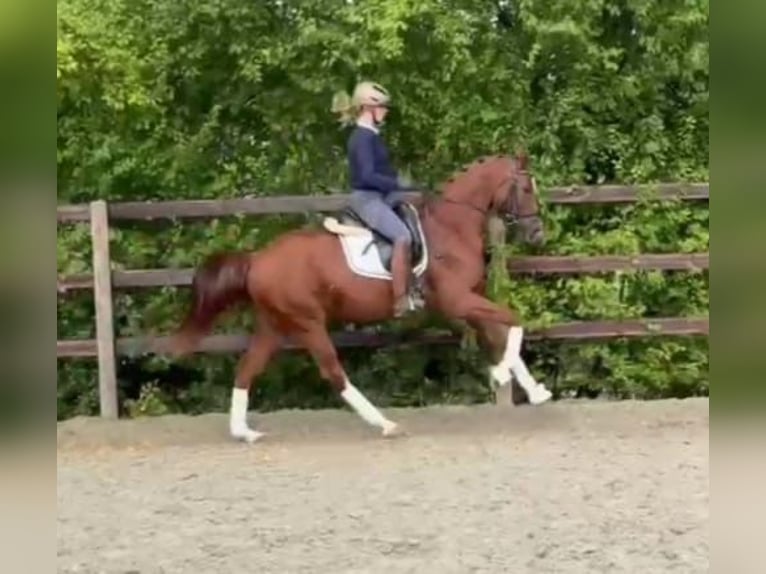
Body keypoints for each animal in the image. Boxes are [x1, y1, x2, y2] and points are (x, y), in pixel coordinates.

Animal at [170, 151, 552, 444]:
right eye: (524, 187)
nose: (537, 233)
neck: (451, 228)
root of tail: (257, 259)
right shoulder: (458, 300)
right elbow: (514, 322)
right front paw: (501, 375)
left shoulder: (469, 299)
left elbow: (501, 332)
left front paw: (533, 390)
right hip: (308, 322)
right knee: (333, 373)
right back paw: (385, 424)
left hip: (275, 324)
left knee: (247, 368)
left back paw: (243, 432)